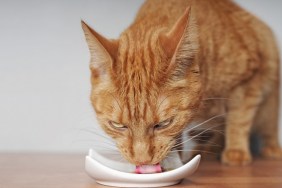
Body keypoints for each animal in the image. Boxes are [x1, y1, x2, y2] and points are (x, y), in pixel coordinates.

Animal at [80, 0, 280, 165]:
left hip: (269, 103)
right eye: (118, 125)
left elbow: (239, 119)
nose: (142, 161)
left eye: (163, 124)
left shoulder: (250, 79)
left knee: (268, 126)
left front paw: (236, 151)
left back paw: (270, 148)